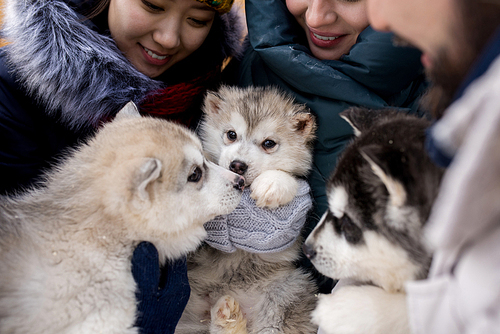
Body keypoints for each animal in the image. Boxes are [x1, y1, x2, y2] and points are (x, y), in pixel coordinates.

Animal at [174, 87, 318, 334]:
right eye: (231, 134)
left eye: (269, 143)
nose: (237, 165)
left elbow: (288, 178)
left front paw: (272, 184)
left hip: (288, 291)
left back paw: (228, 318)